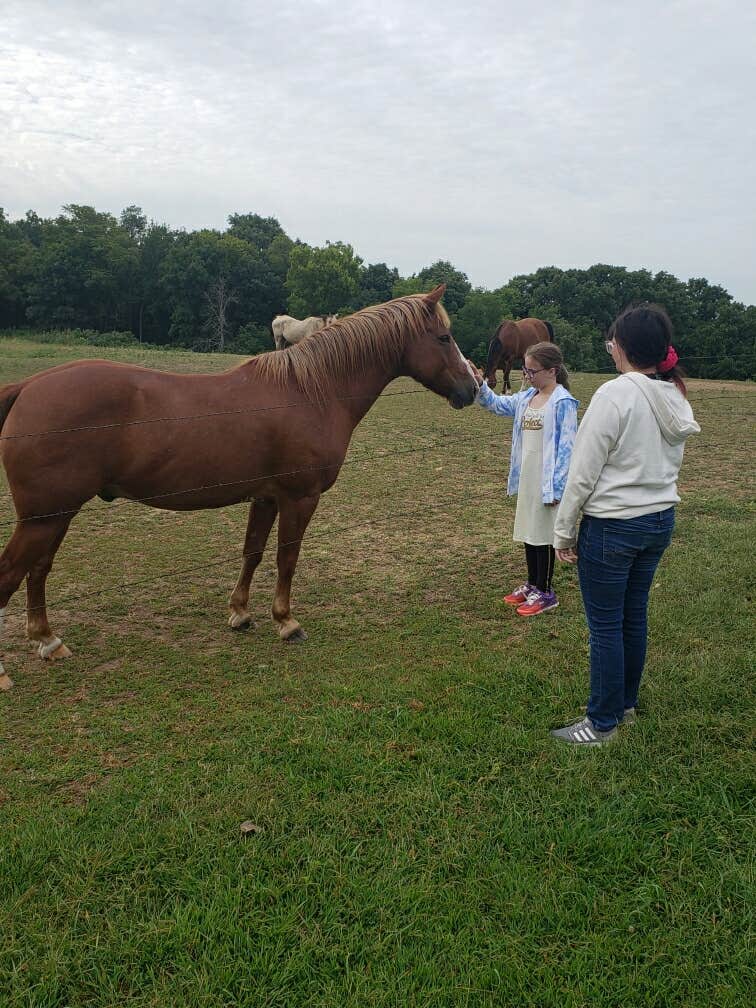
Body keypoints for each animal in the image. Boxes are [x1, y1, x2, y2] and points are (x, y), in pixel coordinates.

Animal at [0, 285, 476, 690]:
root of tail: (29, 387)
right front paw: (286, 621)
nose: (472, 388)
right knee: (11, 574)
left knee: (38, 571)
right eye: (444, 337)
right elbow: (287, 558)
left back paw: (48, 640)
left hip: (55, 516)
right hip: (43, 518)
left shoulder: (265, 497)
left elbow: (253, 553)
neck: (311, 391)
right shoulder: (299, 498)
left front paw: (241, 614)